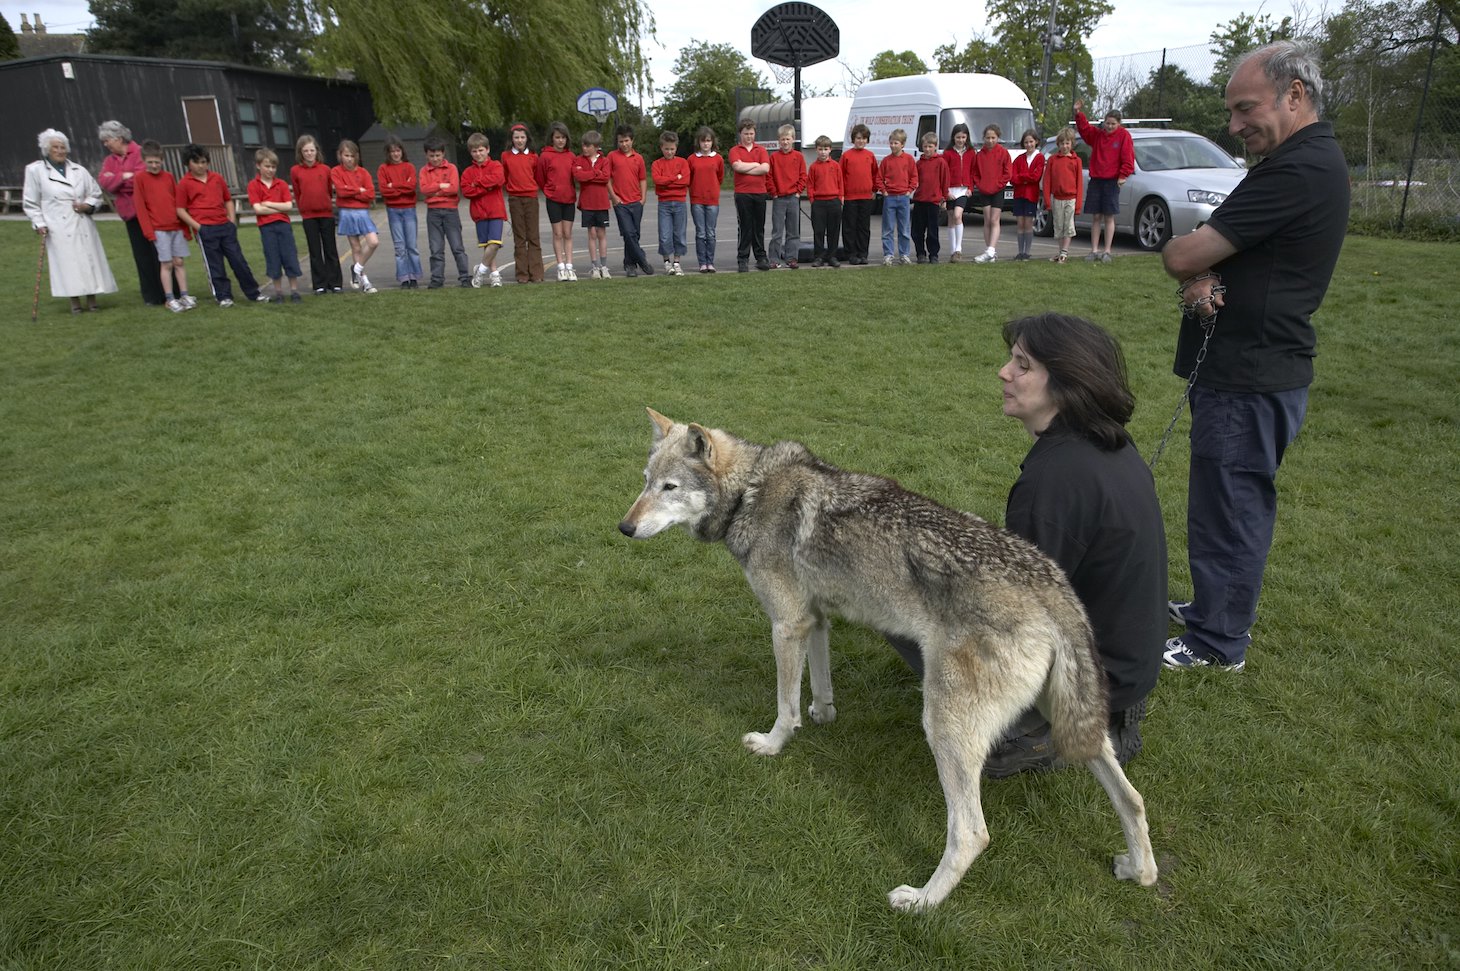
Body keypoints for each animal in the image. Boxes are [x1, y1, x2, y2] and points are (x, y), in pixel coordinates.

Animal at [618, 408, 1158, 911]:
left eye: (669, 488)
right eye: (644, 481)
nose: (623, 527)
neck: (750, 490)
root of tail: (1053, 584)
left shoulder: (786, 625)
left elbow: (784, 706)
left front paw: (773, 744)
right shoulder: (816, 619)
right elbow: (820, 682)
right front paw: (824, 715)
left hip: (945, 727)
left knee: (972, 833)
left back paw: (921, 902)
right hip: (1073, 724)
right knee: (1132, 799)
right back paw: (1140, 870)